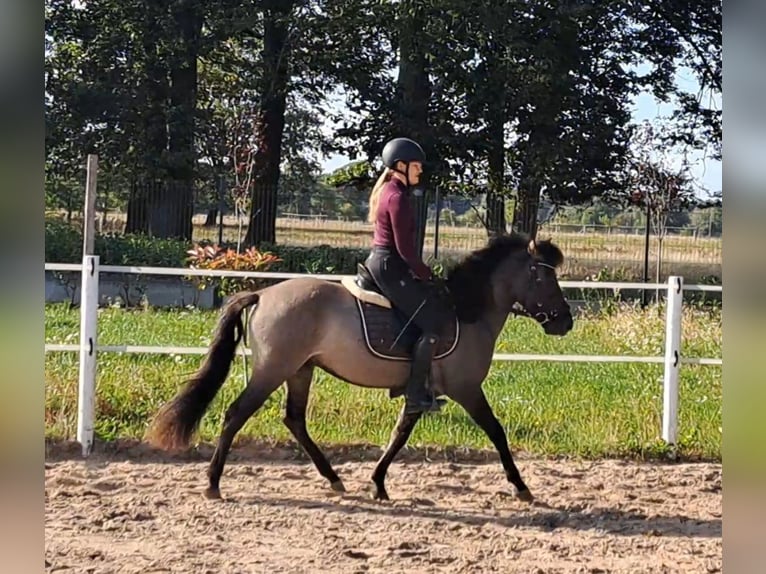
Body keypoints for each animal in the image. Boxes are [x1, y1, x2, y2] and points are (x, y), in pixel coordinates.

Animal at [146, 234, 576, 504]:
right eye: (545, 276)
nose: (565, 322)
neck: (468, 313)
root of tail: (263, 293)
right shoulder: (466, 389)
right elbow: (497, 432)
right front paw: (521, 487)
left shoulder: (421, 391)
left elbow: (400, 434)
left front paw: (377, 483)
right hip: (273, 370)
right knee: (236, 414)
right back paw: (213, 483)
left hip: (300, 370)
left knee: (294, 420)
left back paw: (334, 479)